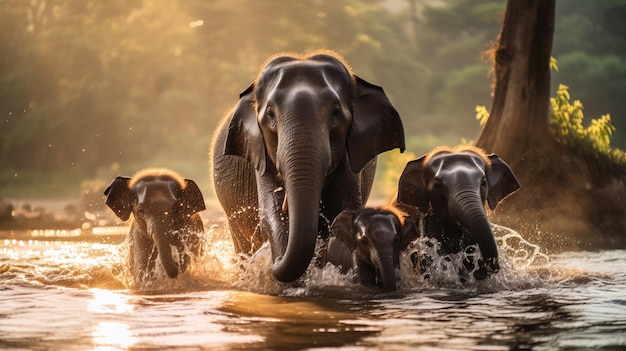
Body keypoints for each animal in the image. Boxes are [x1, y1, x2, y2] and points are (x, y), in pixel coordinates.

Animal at [210, 50, 404, 284]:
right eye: (270, 115)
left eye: (336, 113)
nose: (271, 262)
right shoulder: (260, 154)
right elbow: (273, 215)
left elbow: (346, 210)